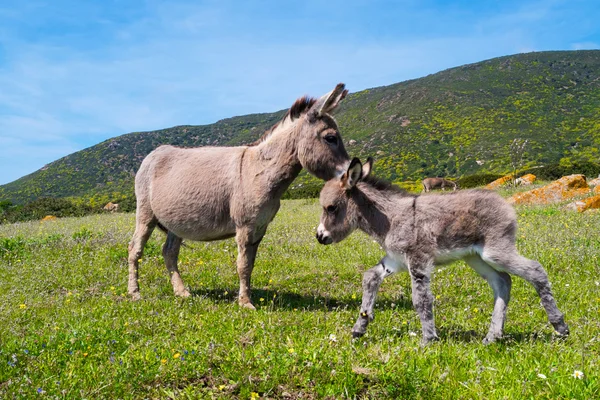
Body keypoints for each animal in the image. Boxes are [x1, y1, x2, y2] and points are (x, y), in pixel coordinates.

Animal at [316, 158, 568, 346]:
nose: (319, 237)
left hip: (495, 251)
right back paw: (492, 336)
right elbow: (369, 277)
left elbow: (421, 299)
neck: (389, 218)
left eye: (331, 208)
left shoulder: (418, 260)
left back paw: (560, 327)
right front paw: (360, 326)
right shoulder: (395, 260)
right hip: (475, 258)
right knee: (503, 281)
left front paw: (428, 340)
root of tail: (504, 203)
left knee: (535, 270)